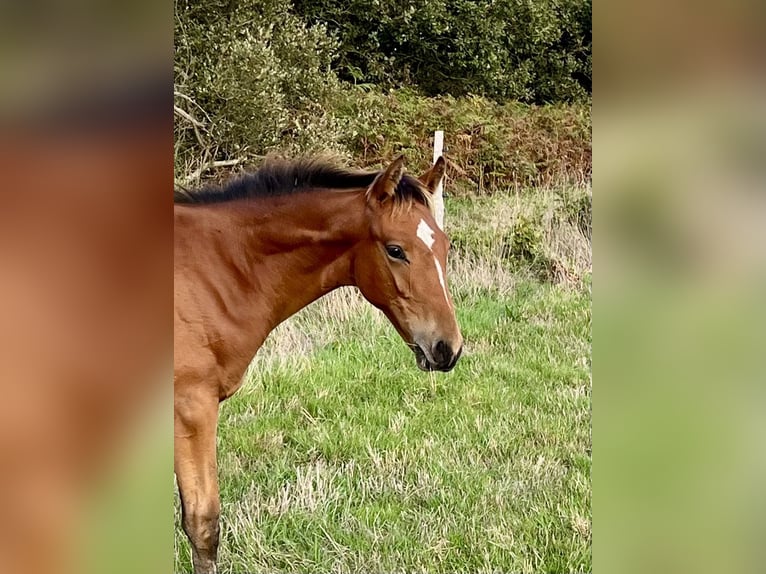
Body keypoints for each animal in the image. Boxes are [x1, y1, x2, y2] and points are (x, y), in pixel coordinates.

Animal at [174, 154, 463, 573]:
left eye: (444, 245)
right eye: (395, 250)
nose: (447, 348)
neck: (216, 268)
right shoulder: (192, 406)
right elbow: (203, 523)